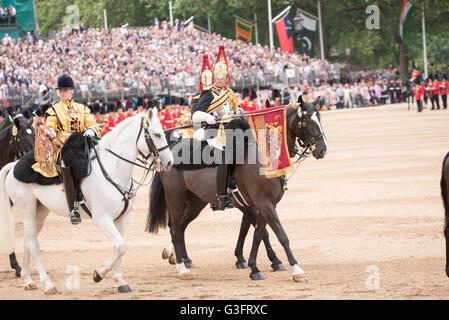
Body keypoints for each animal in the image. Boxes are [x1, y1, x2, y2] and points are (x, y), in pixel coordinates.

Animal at [0, 109, 173, 294]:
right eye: (157, 134)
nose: (170, 162)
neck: (112, 169)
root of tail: (14, 165)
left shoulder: (122, 218)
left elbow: (120, 247)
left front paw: (120, 281)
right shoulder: (101, 218)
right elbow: (121, 246)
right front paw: (99, 274)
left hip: (39, 212)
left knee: (27, 240)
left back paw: (27, 279)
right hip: (26, 209)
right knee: (32, 244)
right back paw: (48, 284)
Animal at [147, 96, 326, 282]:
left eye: (319, 119)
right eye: (305, 122)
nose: (322, 150)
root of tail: (170, 150)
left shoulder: (263, 205)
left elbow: (257, 234)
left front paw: (256, 267)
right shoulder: (263, 203)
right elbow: (279, 234)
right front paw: (296, 269)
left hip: (196, 202)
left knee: (181, 226)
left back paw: (181, 258)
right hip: (175, 199)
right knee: (175, 228)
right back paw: (182, 267)